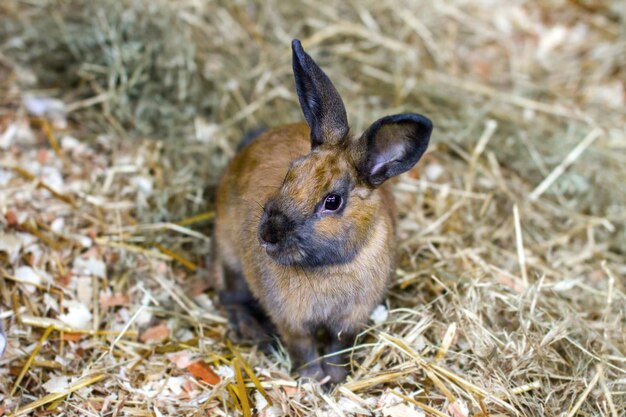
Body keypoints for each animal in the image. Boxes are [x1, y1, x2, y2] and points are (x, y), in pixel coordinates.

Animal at [212, 39, 432, 384]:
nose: (269, 234)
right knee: (230, 298)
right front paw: (312, 380)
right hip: (230, 257)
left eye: (333, 201)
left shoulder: (349, 321)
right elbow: (303, 348)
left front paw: (336, 380)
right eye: (291, 172)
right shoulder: (291, 319)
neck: (330, 267)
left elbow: (336, 348)